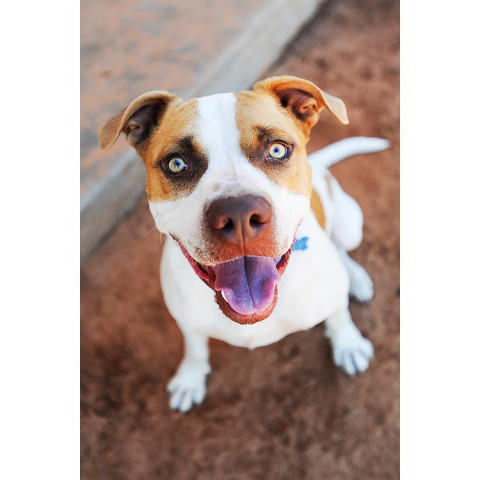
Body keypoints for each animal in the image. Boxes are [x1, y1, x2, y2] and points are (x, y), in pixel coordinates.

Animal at [99, 76, 388, 412]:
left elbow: (339, 315)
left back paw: (356, 278)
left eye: (277, 149)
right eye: (176, 164)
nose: (238, 214)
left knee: (342, 249)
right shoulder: (187, 321)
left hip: (350, 222)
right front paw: (190, 378)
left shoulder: (330, 297)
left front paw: (349, 343)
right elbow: (195, 348)